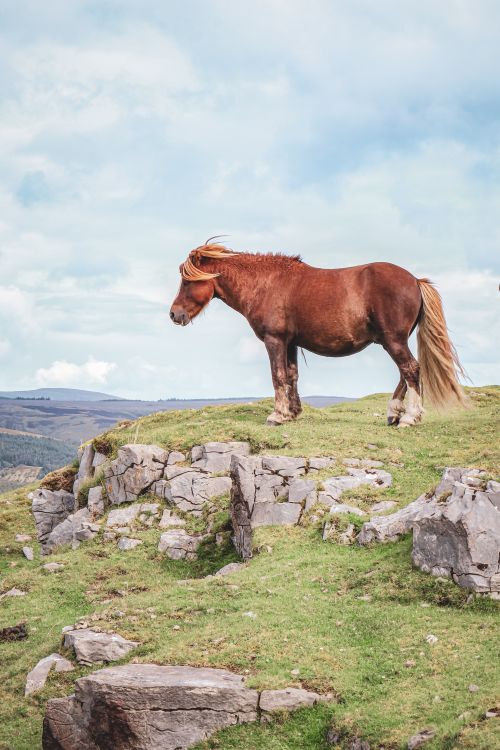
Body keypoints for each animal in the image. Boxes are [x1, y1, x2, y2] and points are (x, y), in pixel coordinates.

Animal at [170, 241, 466, 427]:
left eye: (187, 280)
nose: (174, 314)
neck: (265, 284)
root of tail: (415, 280)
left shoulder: (274, 340)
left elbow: (277, 375)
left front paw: (277, 416)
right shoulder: (289, 342)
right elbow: (291, 375)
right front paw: (292, 413)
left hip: (393, 340)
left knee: (411, 370)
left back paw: (409, 418)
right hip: (393, 341)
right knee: (406, 373)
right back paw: (394, 414)